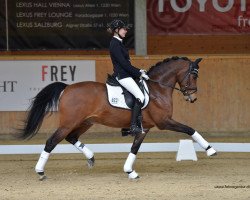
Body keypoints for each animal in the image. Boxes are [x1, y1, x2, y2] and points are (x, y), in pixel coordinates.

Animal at [20, 55, 216, 180]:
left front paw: (130, 171)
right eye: (194, 75)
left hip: (85, 122)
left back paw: (91, 157)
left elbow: (135, 148)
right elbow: (189, 129)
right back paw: (40, 172)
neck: (156, 90)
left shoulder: (145, 128)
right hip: (69, 122)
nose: (192, 97)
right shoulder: (164, 122)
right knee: (51, 142)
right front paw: (210, 149)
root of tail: (67, 88)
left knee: (72, 137)